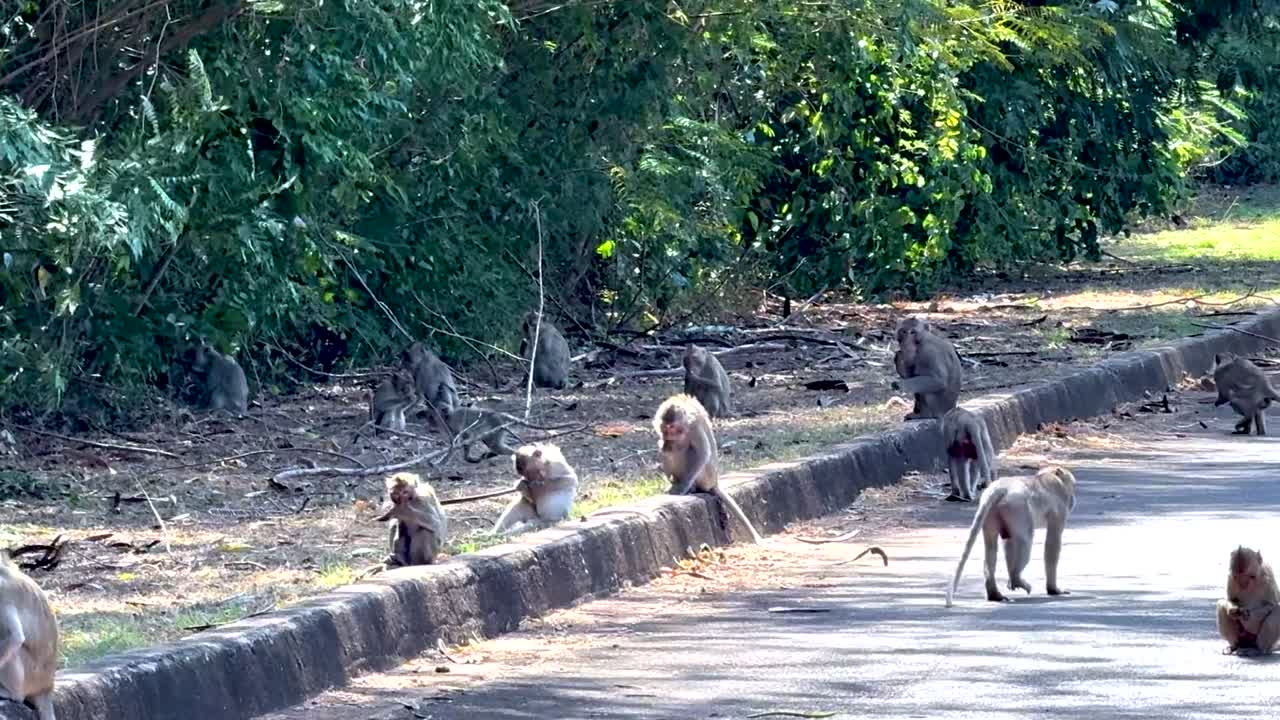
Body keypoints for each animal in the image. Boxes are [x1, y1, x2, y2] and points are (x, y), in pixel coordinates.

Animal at [654, 394, 764, 544]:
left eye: (673, 428)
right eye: (665, 429)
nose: (669, 436)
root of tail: (715, 482)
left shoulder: (694, 427)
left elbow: (703, 453)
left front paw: (681, 488)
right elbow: (664, 445)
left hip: (706, 477)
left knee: (685, 448)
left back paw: (691, 487)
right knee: (667, 447)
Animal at [945, 465, 1076, 607]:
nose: (1073, 499)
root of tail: (1000, 487)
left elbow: (1007, 543)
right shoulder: (1059, 511)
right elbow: (1053, 542)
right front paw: (1053, 589)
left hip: (994, 511)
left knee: (992, 546)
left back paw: (995, 593)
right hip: (1017, 506)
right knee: (1025, 540)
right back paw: (1016, 578)